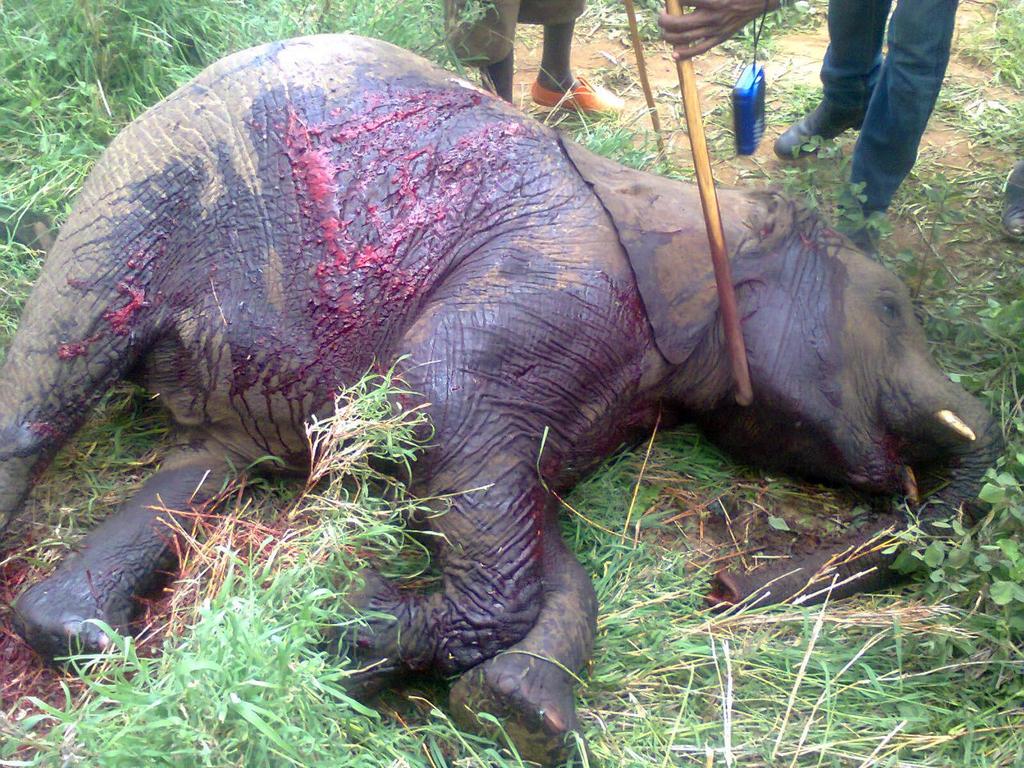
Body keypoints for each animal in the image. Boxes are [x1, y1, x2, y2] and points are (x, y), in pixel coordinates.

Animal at [0, 35, 1002, 765]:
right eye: (891, 310)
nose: (727, 588)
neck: (690, 198)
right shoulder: (557, 285)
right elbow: (435, 401)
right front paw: (340, 633)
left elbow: (520, 511)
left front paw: (505, 706)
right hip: (144, 186)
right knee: (47, 388)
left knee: (198, 469)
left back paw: (84, 633)